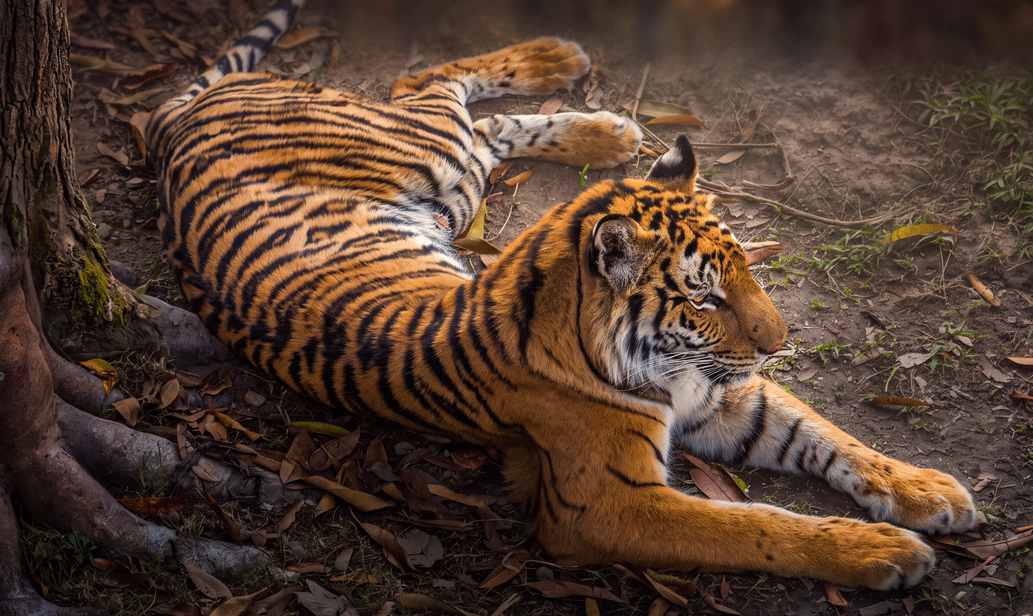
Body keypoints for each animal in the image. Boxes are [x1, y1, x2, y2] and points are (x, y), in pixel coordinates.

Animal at [146, 0, 978, 590]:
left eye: (745, 270)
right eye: (704, 299)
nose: (778, 344)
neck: (666, 364)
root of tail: (173, 120)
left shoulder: (722, 398)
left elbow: (829, 436)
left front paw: (927, 490)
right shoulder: (607, 501)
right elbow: (760, 529)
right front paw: (881, 551)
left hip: (451, 184)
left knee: (472, 118)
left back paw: (604, 123)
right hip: (428, 154)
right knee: (424, 86)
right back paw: (570, 72)